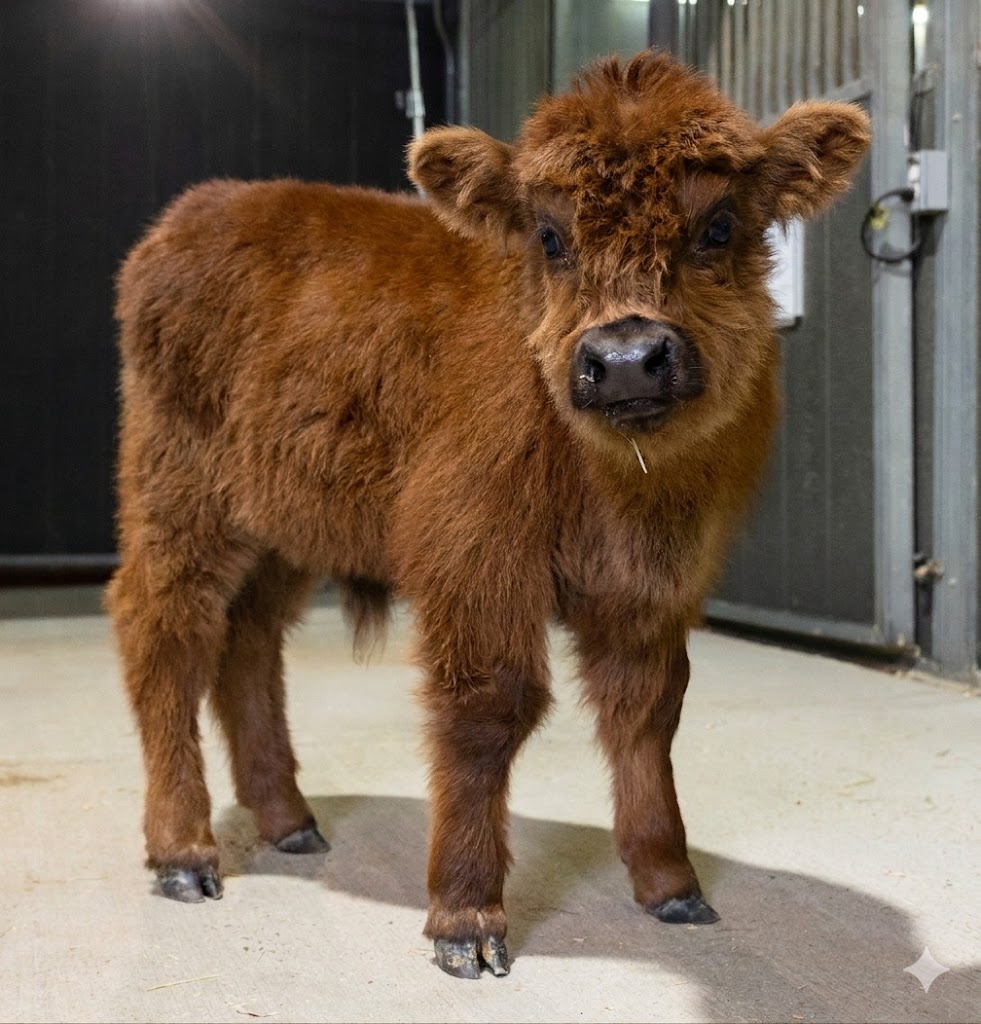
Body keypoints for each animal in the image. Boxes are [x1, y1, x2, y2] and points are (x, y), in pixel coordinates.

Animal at [106, 50, 871, 979]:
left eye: (718, 225)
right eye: (548, 237)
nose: (624, 359)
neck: (620, 487)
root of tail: (192, 215)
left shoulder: (656, 588)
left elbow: (647, 712)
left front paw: (670, 884)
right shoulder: (475, 563)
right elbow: (487, 712)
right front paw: (464, 919)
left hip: (281, 530)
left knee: (247, 646)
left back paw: (290, 822)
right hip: (180, 503)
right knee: (166, 634)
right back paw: (183, 852)